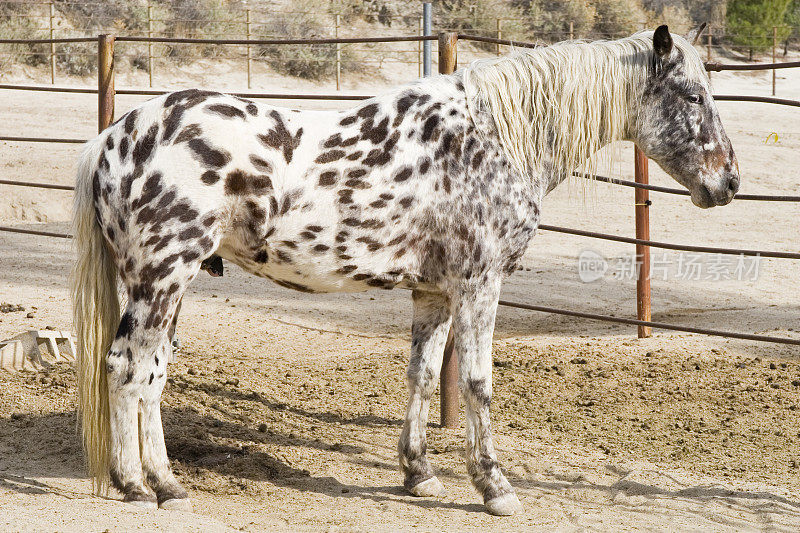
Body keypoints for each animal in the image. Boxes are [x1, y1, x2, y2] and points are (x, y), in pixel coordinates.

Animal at [72, 26, 740, 516]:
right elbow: (476, 383)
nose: (729, 182)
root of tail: (113, 137)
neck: (494, 139)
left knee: (153, 374)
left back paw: (164, 481)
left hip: (172, 285)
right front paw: (494, 487)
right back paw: (140, 485)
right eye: (693, 96)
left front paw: (418, 474)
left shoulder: (433, 292)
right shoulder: (480, 284)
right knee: (127, 368)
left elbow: (421, 375)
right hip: (161, 279)